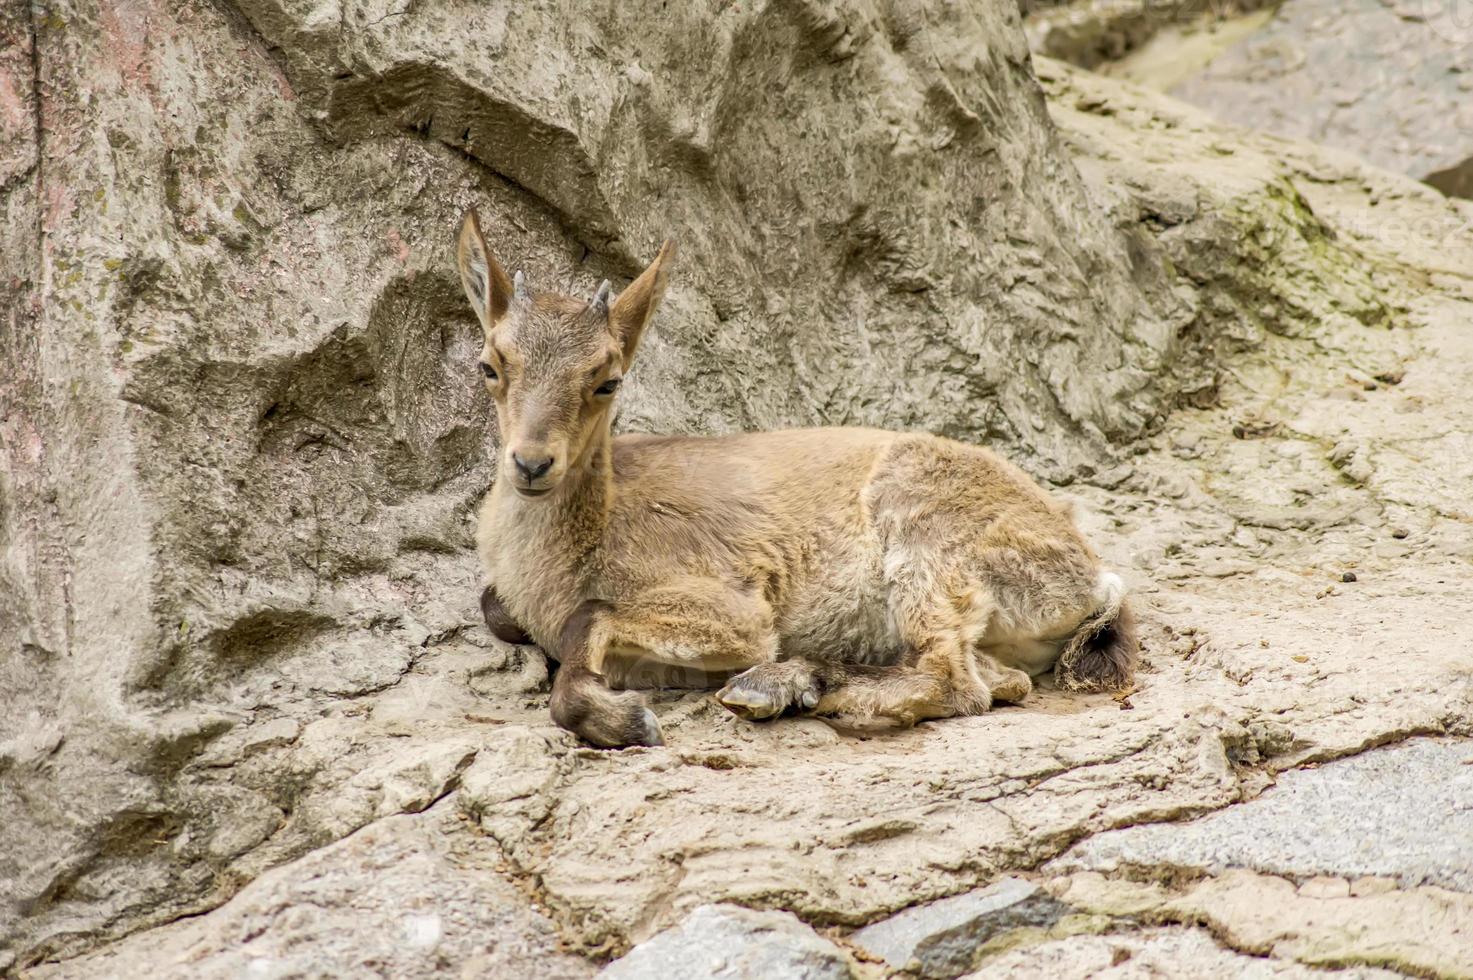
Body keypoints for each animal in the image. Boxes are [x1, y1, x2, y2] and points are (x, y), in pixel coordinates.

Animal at [453, 212, 1131, 748]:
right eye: (490, 364)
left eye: (607, 380)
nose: (532, 464)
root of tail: (1095, 579)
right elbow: (497, 608)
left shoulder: (731, 611)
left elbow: (590, 619)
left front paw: (628, 722)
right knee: (1001, 680)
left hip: (923, 535)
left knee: (957, 681)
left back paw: (776, 687)